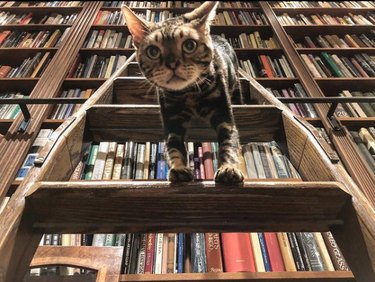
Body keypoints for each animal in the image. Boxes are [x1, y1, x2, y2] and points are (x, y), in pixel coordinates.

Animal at [122, 2, 245, 184]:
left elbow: (229, 142)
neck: (188, 93)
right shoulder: (172, 119)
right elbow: (173, 146)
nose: (172, 63)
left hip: (236, 84)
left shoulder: (224, 115)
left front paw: (228, 167)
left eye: (189, 45)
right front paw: (179, 167)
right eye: (153, 51)